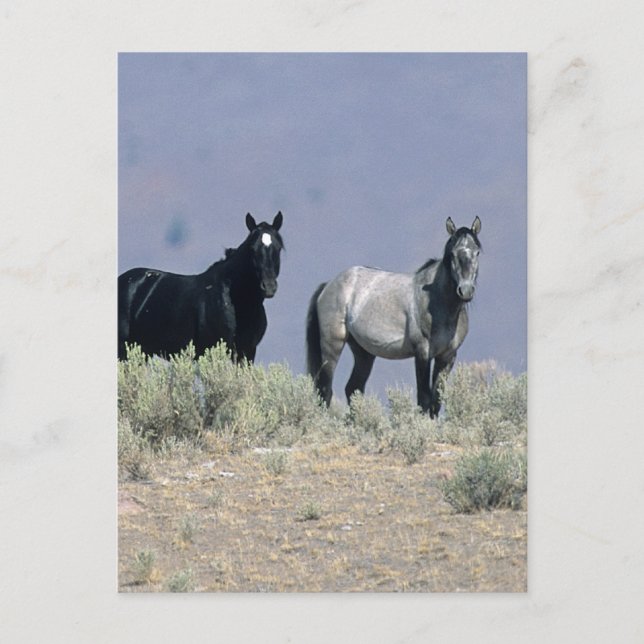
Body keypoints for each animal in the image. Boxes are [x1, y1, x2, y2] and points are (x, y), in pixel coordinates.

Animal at [306, 216, 481, 417]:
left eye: (477, 252)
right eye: (452, 254)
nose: (465, 290)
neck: (437, 302)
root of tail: (328, 285)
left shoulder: (447, 357)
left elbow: (436, 402)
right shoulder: (422, 353)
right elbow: (424, 399)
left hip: (363, 352)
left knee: (353, 388)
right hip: (332, 345)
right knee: (325, 390)